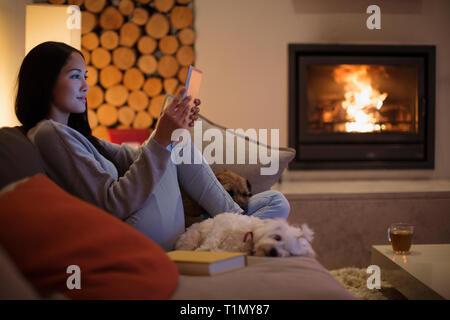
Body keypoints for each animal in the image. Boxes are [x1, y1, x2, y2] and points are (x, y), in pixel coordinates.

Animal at [174, 212, 314, 258]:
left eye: (289, 252)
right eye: (277, 237)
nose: (274, 252)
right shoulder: (222, 224)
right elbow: (212, 241)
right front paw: (203, 250)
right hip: (192, 237)